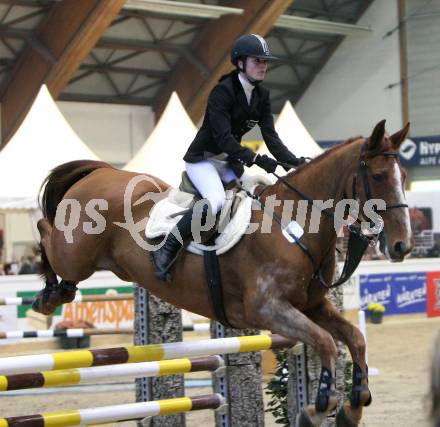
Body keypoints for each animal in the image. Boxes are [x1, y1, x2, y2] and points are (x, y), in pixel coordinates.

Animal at [34, 121, 412, 427]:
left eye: (404, 178)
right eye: (379, 176)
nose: (402, 246)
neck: (292, 225)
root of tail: (101, 172)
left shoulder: (311, 306)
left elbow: (354, 338)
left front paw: (354, 405)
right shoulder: (268, 310)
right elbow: (325, 342)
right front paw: (318, 407)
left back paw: (59, 291)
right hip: (73, 254)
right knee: (44, 229)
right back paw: (48, 296)